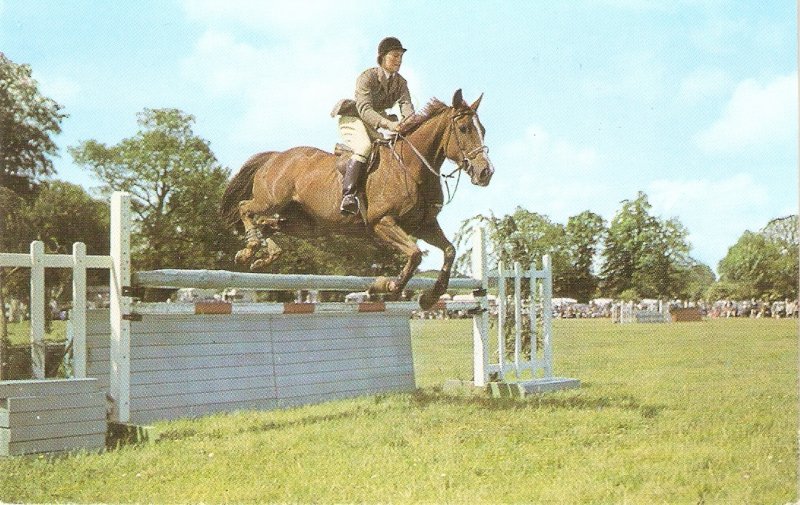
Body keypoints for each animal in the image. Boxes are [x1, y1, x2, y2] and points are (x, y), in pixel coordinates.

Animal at [220, 89, 494, 310]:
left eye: (483, 130)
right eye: (464, 129)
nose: (485, 173)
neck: (411, 167)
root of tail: (276, 157)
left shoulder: (423, 226)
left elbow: (449, 251)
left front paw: (429, 297)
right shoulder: (382, 223)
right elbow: (415, 255)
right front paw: (385, 287)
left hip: (305, 225)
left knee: (267, 223)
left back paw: (258, 255)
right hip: (272, 200)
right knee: (247, 208)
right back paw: (251, 246)